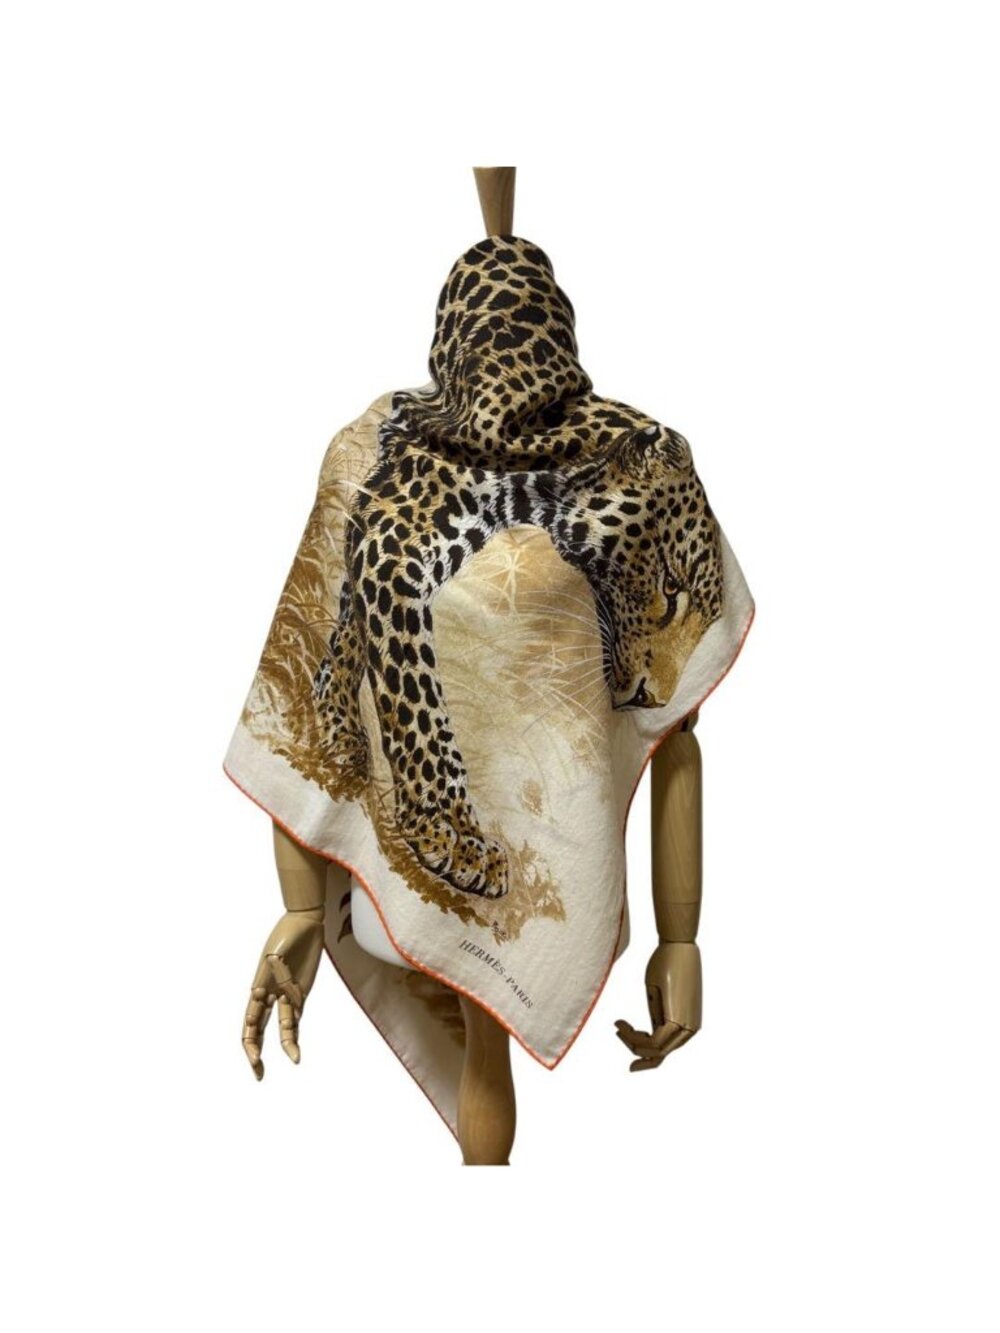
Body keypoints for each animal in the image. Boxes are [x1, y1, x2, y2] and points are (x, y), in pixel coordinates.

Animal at [311, 236, 724, 900]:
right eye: (669, 588)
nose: (654, 701)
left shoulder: (393, 515)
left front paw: (340, 721)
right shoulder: (399, 528)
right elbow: (416, 690)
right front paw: (451, 833)